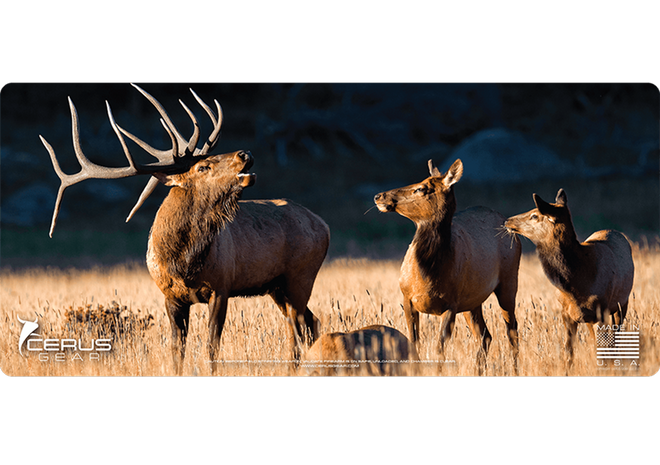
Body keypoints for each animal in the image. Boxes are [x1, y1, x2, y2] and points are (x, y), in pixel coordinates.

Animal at [41, 82, 330, 375]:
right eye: (204, 166)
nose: (245, 153)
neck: (183, 262)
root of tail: (324, 224)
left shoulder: (222, 287)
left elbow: (211, 347)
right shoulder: (170, 296)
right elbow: (176, 350)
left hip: (301, 275)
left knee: (299, 327)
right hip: (278, 286)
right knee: (309, 323)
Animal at [374, 159, 522, 373]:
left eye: (421, 188)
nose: (379, 196)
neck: (428, 274)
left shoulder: (451, 304)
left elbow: (439, 349)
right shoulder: (407, 298)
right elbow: (414, 343)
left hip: (509, 280)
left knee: (512, 331)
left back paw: (515, 369)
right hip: (472, 301)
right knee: (486, 336)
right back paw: (478, 370)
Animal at [504, 188, 634, 366]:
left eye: (535, 215)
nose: (507, 221)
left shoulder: (602, 310)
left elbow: (603, 352)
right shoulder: (567, 313)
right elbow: (568, 353)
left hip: (622, 304)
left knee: (615, 339)